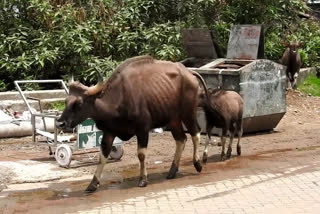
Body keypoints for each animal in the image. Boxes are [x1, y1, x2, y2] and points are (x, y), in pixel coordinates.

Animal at [56, 55, 209, 192]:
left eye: (79, 103)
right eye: (66, 101)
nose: (60, 123)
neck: (118, 99)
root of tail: (188, 72)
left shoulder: (143, 129)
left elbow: (141, 154)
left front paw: (143, 179)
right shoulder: (109, 131)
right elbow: (102, 155)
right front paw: (93, 184)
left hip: (188, 113)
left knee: (195, 133)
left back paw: (197, 164)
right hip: (173, 119)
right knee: (181, 139)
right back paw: (172, 171)